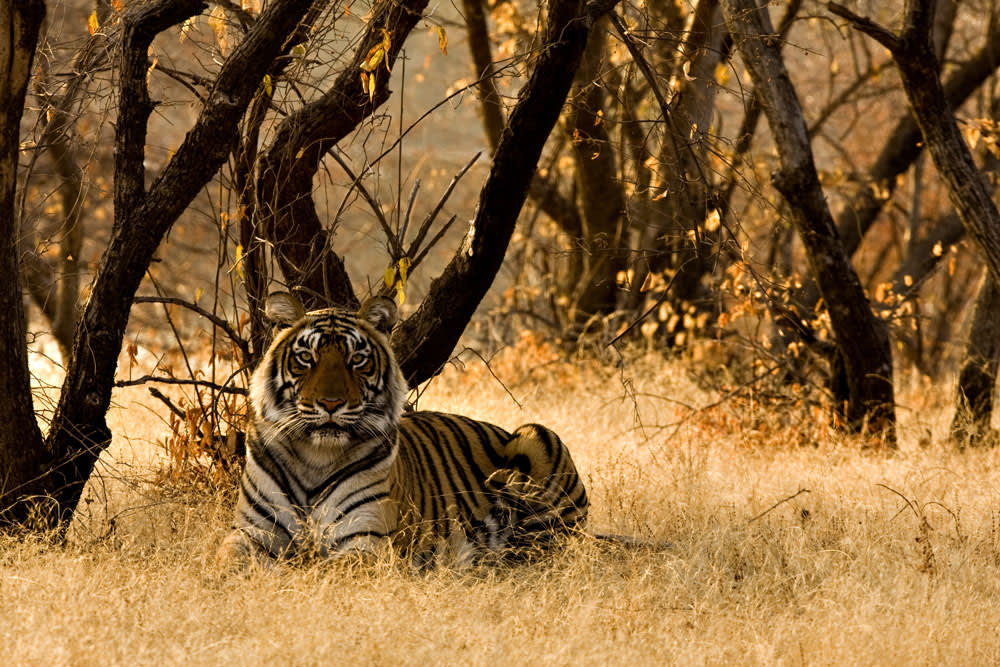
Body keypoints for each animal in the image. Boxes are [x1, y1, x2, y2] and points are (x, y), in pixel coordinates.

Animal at [219, 292, 588, 568]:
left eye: (356, 359)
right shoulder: (252, 533)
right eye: (307, 358)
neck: (315, 456)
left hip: (537, 437)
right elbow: (224, 562)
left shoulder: (365, 540)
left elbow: (325, 570)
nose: (331, 403)